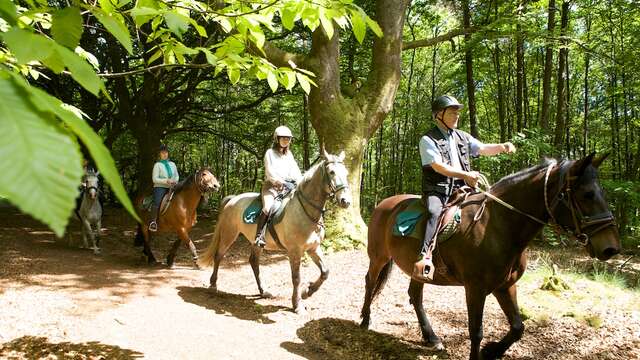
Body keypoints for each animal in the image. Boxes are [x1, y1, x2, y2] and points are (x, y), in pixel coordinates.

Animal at [362, 154, 624, 360]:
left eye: (600, 192)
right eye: (587, 194)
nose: (611, 248)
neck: (498, 225)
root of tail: (384, 204)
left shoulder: (505, 286)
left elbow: (518, 327)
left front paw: (492, 351)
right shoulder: (475, 289)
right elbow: (476, 331)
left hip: (419, 271)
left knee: (415, 296)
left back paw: (431, 337)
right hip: (378, 257)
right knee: (370, 282)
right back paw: (365, 319)